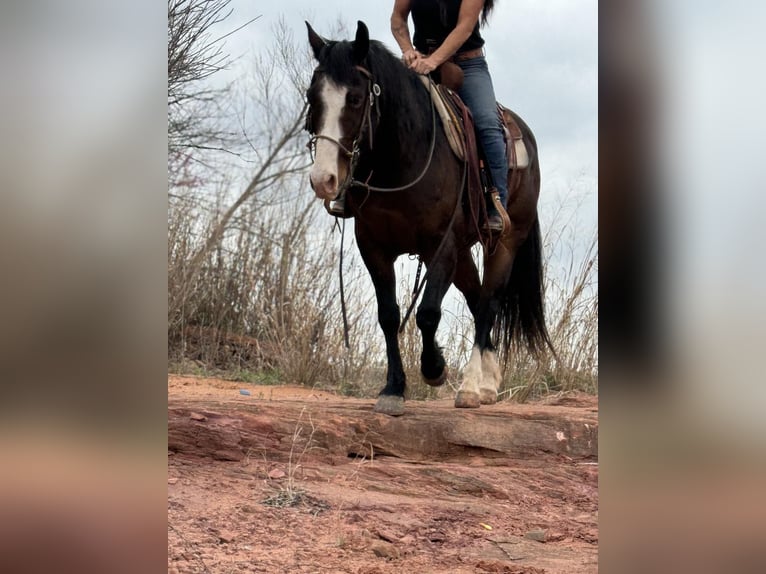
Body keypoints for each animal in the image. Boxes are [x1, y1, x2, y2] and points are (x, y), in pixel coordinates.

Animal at [304, 20, 552, 416]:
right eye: (313, 98)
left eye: (355, 98)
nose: (323, 180)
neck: (402, 160)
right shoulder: (373, 247)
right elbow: (389, 315)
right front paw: (393, 388)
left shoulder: (442, 246)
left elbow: (427, 312)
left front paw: (435, 368)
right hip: (464, 254)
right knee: (476, 298)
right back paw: (489, 382)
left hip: (505, 243)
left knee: (489, 302)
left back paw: (471, 388)